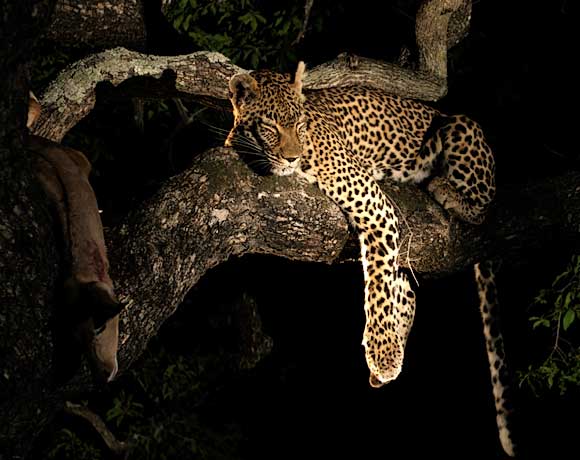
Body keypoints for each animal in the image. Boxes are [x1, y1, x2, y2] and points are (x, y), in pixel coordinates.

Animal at [224, 61, 516, 456]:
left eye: (299, 123)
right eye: (270, 126)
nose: (292, 157)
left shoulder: (375, 206)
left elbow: (377, 286)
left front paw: (381, 352)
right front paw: (386, 353)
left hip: (461, 127)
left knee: (482, 210)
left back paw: (447, 192)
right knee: (407, 290)